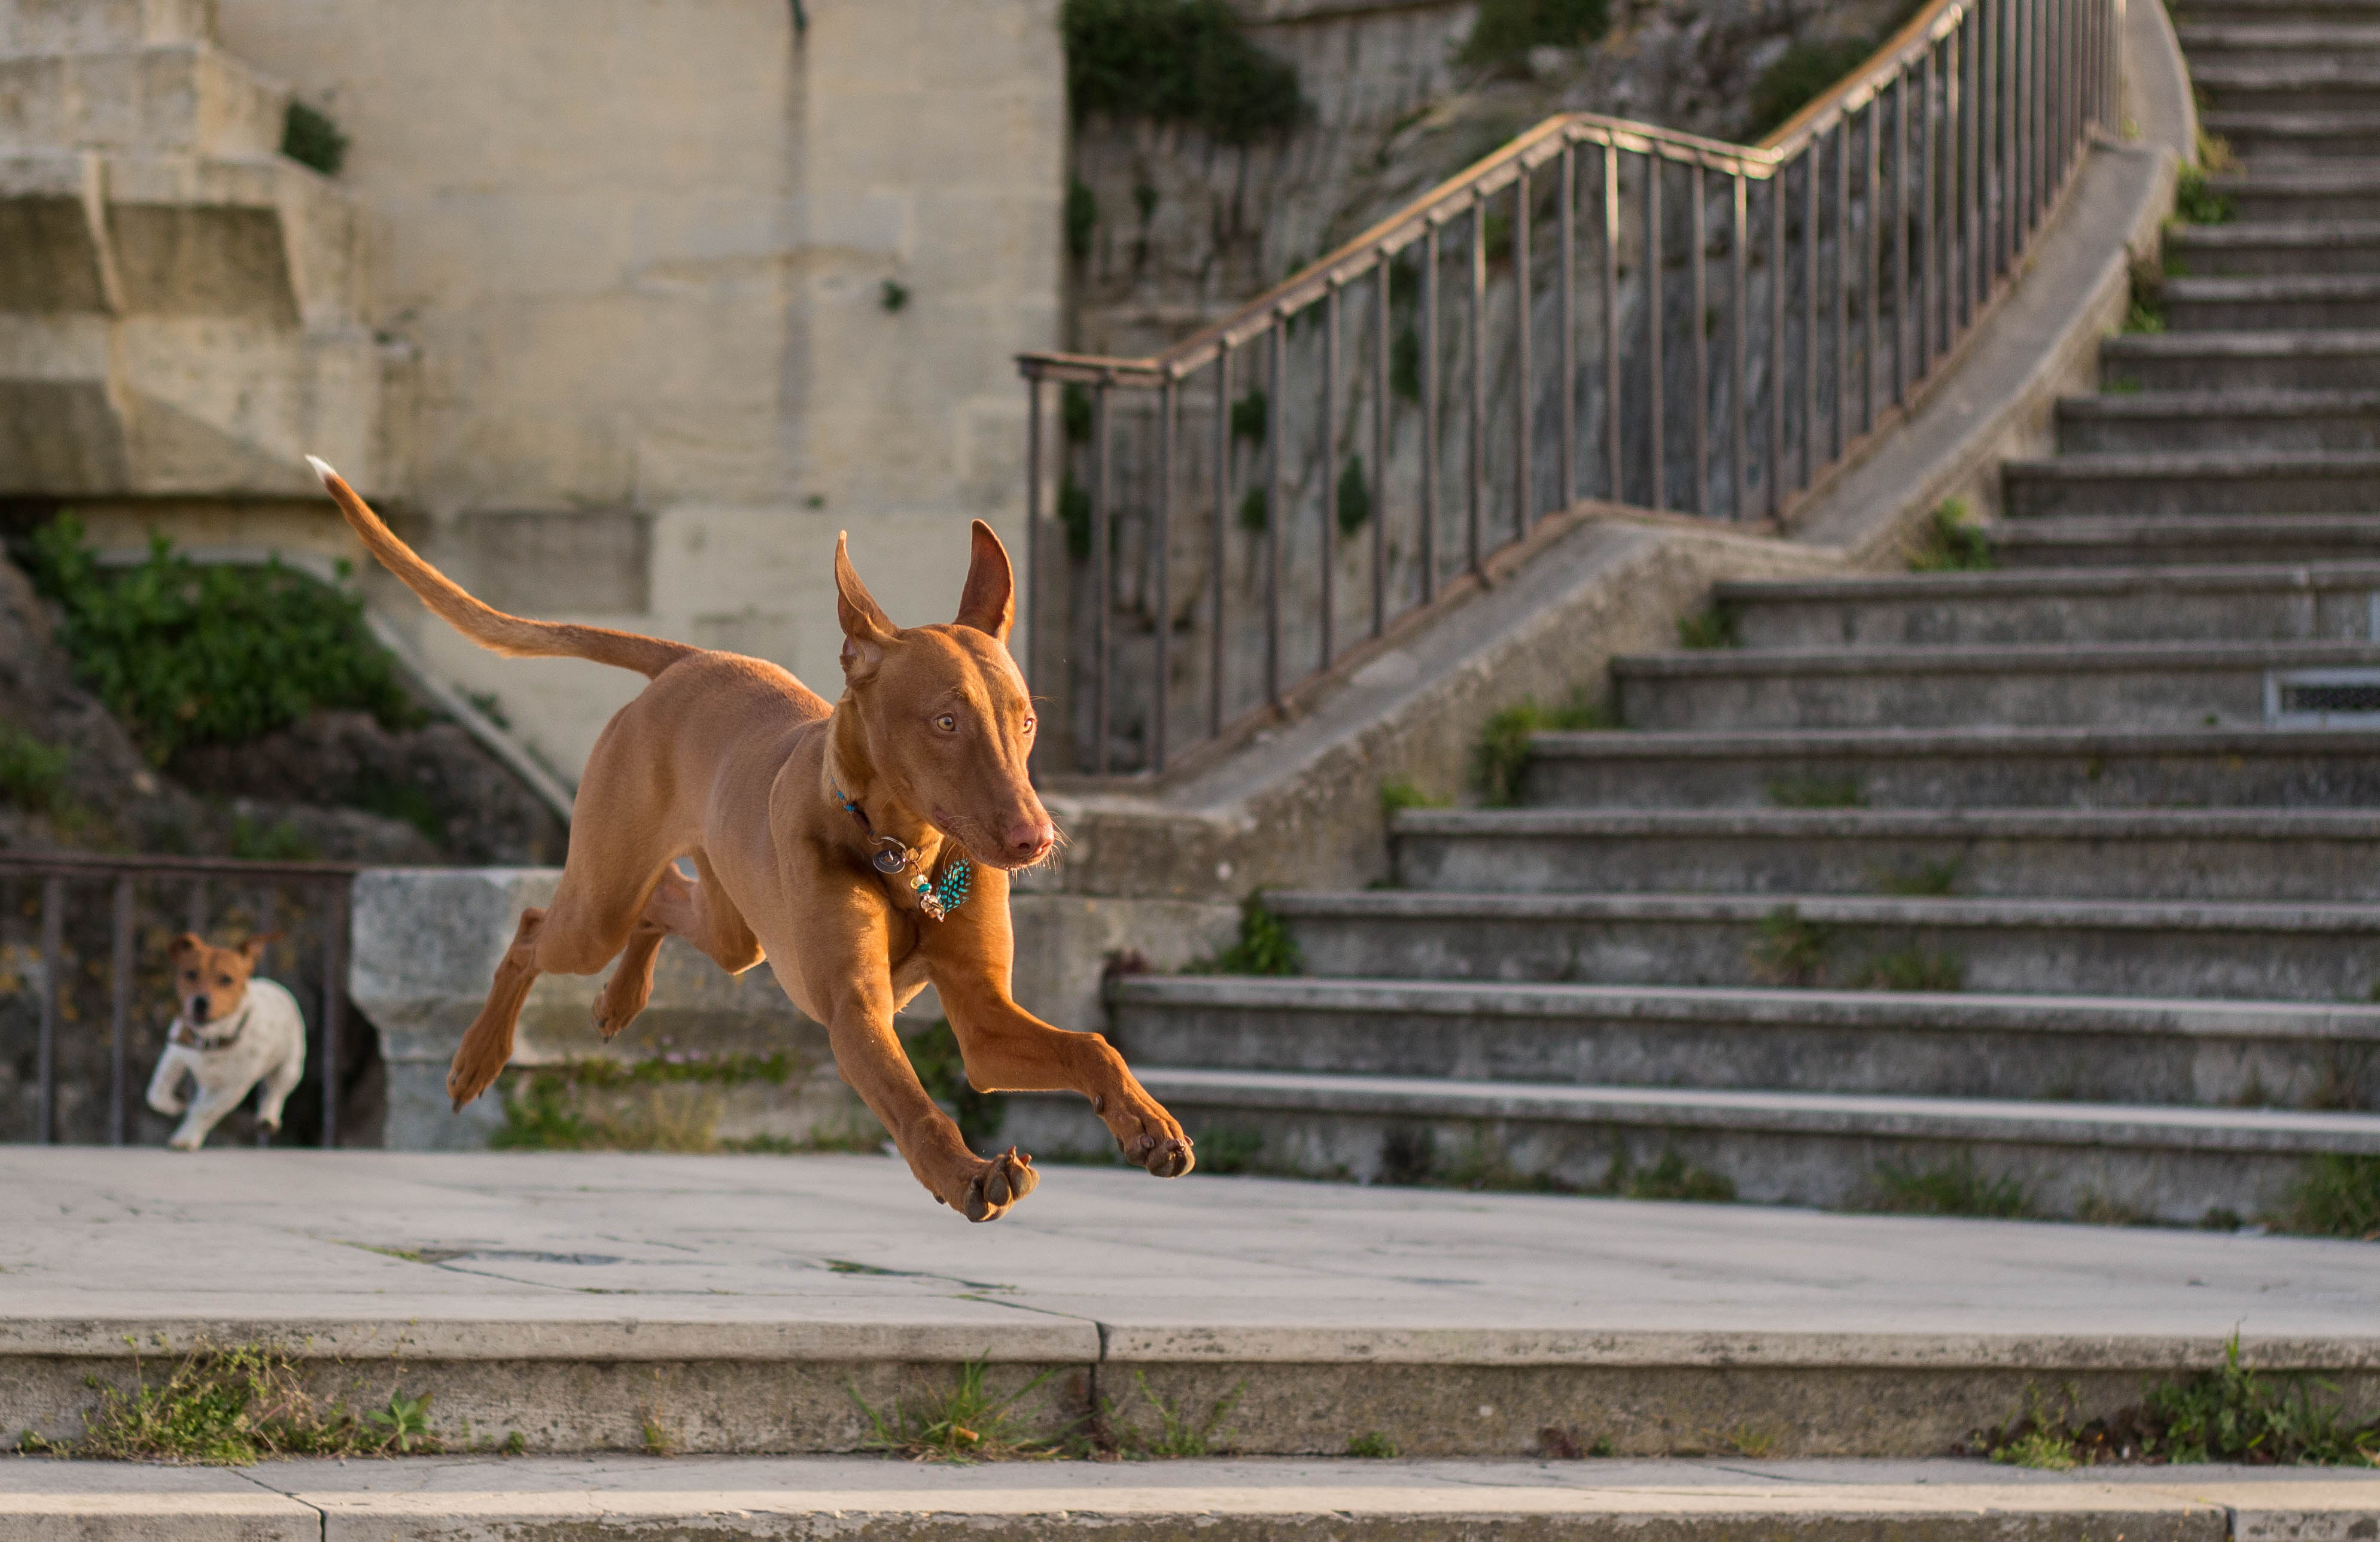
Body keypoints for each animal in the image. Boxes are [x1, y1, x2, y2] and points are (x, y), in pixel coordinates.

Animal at [145, 932, 307, 1151]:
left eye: (227, 979)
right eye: (191, 974)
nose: (200, 1002)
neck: (211, 1041)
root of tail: (272, 985)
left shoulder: (234, 1088)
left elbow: (206, 1111)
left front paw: (187, 1137)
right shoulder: (174, 1054)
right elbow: (157, 1092)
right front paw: (175, 1106)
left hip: (290, 1069)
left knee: (276, 1092)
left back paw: (267, 1118)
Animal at [307, 452, 1199, 1218]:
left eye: (1027, 721)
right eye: (946, 722)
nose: (1034, 841)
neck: (906, 854)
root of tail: (690, 658)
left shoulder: (982, 1017)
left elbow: (1093, 1044)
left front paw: (1148, 1124)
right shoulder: (854, 1011)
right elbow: (916, 1107)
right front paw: (967, 1174)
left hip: (737, 934)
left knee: (666, 903)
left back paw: (620, 999)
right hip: (602, 905)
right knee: (534, 928)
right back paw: (477, 1057)